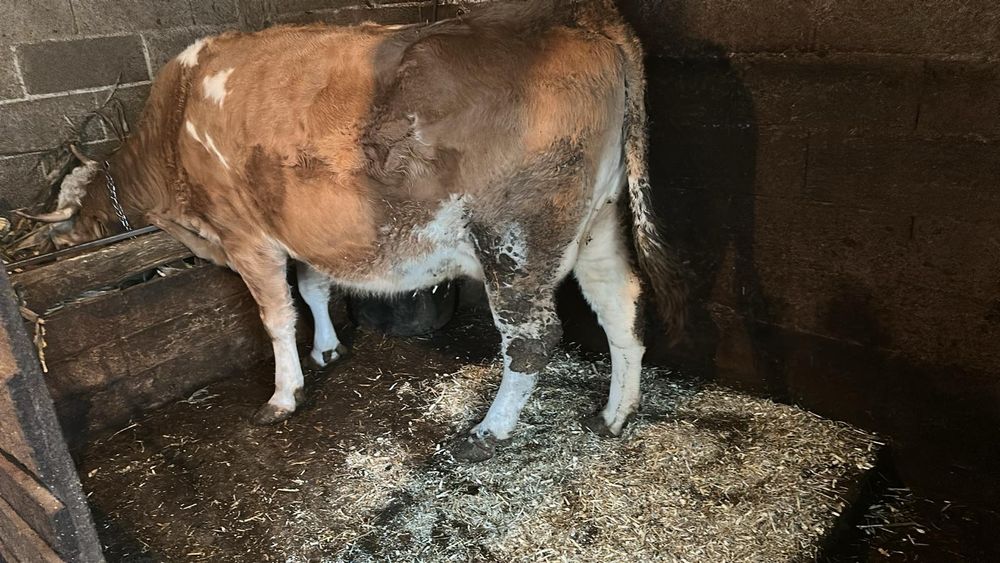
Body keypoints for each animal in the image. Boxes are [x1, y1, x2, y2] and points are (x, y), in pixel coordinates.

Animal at [21, 0, 686, 461]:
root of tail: (580, 18)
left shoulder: (246, 234)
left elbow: (276, 316)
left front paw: (284, 395)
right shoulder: (303, 227)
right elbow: (314, 288)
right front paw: (327, 348)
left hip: (516, 239)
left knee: (532, 341)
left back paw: (487, 433)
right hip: (599, 219)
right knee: (621, 303)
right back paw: (614, 415)